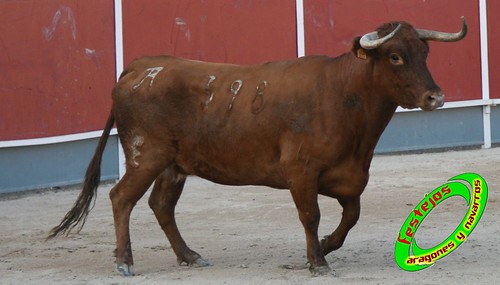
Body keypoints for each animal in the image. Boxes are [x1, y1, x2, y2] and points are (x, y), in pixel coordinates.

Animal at [48, 18, 466, 276]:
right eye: (395, 57)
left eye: (424, 54)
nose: (436, 97)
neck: (343, 94)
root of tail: (139, 67)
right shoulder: (301, 172)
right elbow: (311, 215)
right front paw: (317, 262)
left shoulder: (349, 176)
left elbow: (351, 217)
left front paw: (327, 246)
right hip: (144, 156)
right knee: (122, 199)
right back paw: (125, 262)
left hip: (173, 164)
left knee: (160, 206)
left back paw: (190, 256)